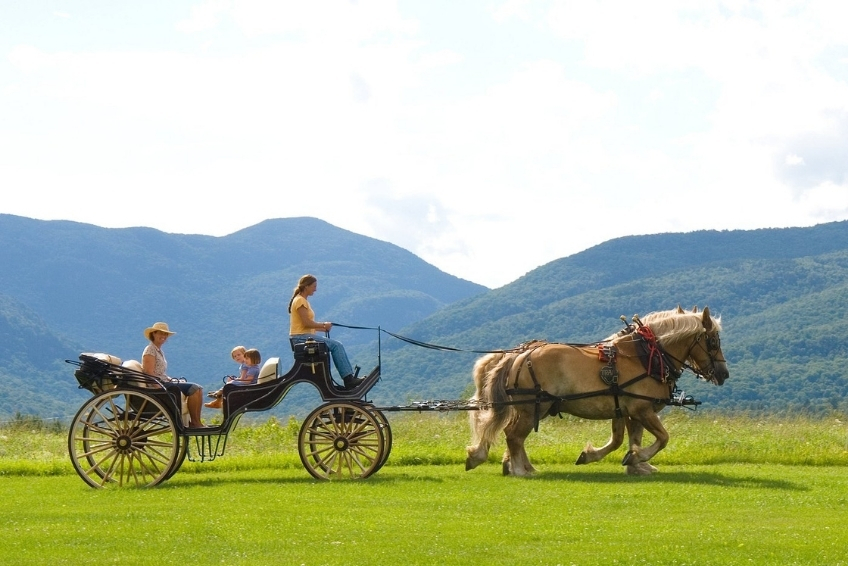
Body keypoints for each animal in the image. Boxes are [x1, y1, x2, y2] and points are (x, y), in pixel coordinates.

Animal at [465, 306, 728, 476]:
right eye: (713, 341)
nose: (723, 374)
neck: (646, 356)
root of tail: (520, 355)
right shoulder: (642, 409)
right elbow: (662, 438)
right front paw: (639, 458)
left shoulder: (626, 410)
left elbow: (626, 439)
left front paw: (633, 463)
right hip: (533, 408)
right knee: (514, 436)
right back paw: (521, 470)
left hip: (530, 408)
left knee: (512, 435)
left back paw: (516, 465)